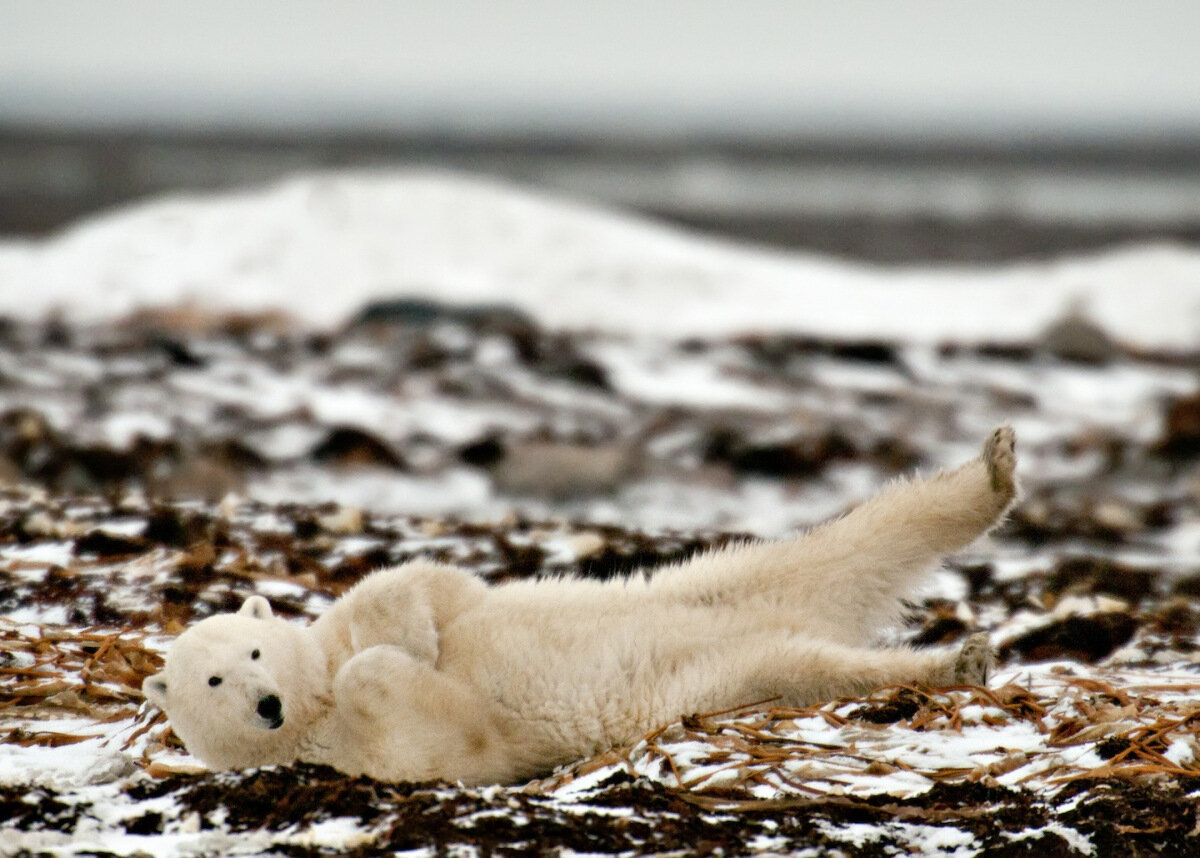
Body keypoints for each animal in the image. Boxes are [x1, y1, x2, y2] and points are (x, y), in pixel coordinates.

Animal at [145, 427, 1017, 787]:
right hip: (722, 676)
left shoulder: (391, 613)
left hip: (719, 581)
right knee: (811, 665)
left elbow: (425, 588)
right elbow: (441, 740)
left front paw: (410, 640)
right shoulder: (344, 754)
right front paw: (393, 666)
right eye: (212, 683)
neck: (314, 693)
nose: (265, 703)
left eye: (252, 653)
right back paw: (957, 659)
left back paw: (995, 471)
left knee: (856, 541)